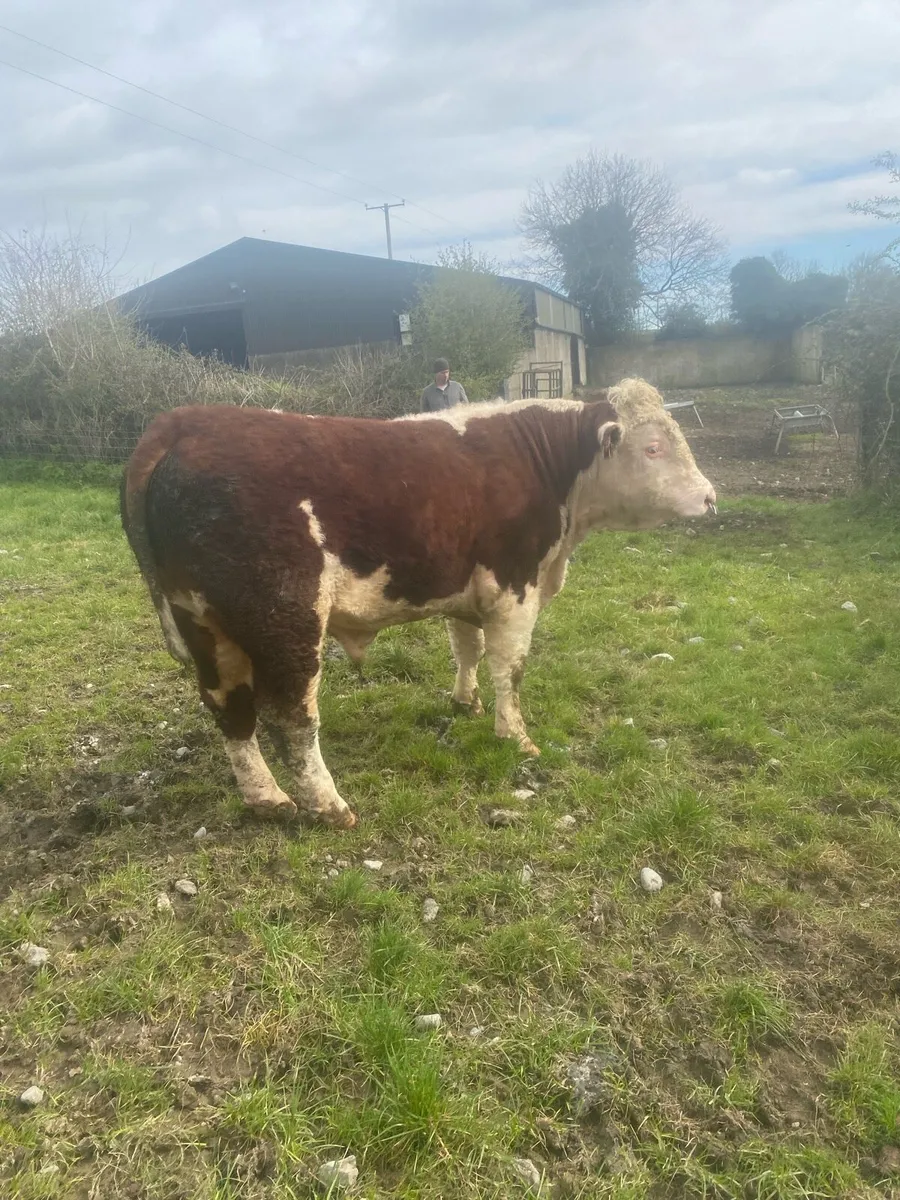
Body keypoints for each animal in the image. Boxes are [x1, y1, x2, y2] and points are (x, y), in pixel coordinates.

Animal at [121, 377, 716, 831]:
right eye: (654, 447)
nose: (711, 498)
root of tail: (186, 421)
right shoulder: (514, 588)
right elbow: (510, 666)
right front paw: (517, 737)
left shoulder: (465, 590)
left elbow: (468, 649)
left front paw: (465, 702)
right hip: (287, 621)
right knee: (292, 716)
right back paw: (328, 806)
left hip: (202, 621)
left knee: (229, 708)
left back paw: (266, 799)